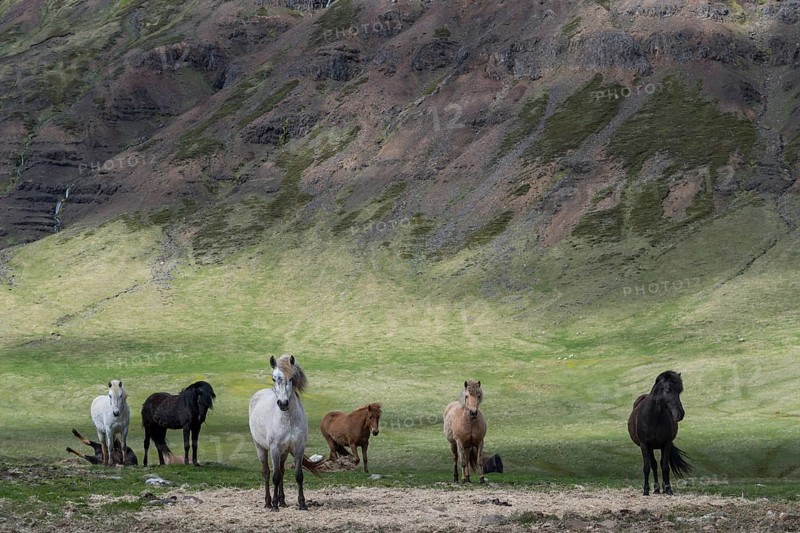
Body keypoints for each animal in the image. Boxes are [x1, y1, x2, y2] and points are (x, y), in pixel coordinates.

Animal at [249, 354, 322, 511]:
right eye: (273, 378)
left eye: (292, 378)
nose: (283, 403)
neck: (288, 421)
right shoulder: (275, 449)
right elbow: (275, 476)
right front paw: (274, 505)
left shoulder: (298, 448)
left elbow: (298, 475)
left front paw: (302, 504)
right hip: (260, 448)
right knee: (266, 472)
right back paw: (268, 502)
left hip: (284, 452)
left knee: (281, 471)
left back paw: (282, 501)